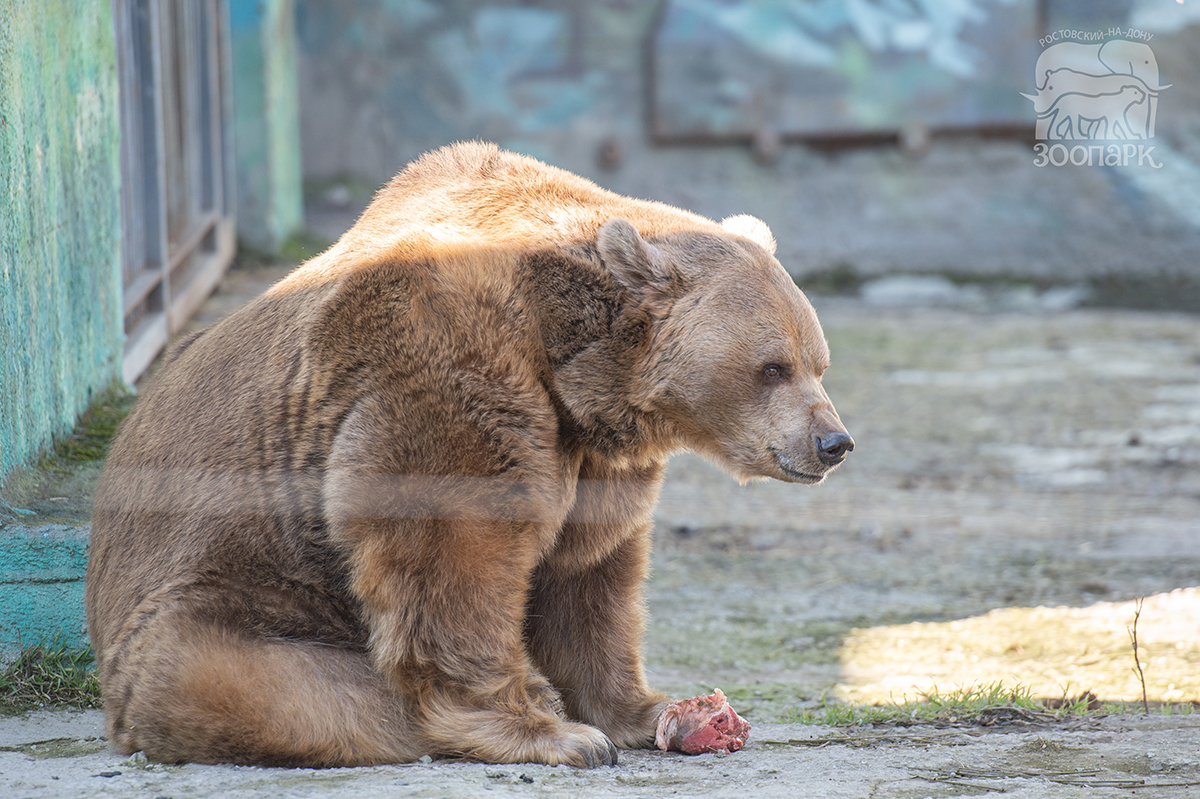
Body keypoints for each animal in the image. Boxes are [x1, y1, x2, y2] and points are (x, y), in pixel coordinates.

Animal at [84, 141, 849, 767]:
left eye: (819, 362)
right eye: (773, 367)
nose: (833, 442)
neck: (576, 360)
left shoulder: (593, 448)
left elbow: (590, 568)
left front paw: (648, 709)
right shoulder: (450, 366)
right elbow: (455, 546)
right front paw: (556, 733)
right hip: (224, 610)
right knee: (318, 698)